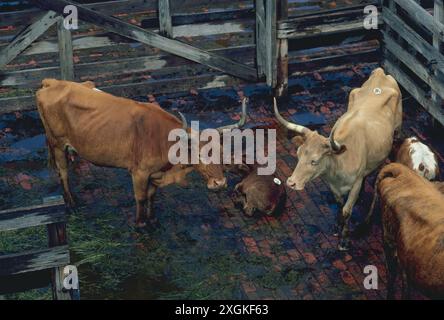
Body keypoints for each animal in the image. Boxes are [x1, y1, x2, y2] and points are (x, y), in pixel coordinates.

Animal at [274, 67, 402, 250]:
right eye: (298, 154)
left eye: (315, 161)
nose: (291, 182)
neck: (339, 164)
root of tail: (380, 72)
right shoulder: (333, 186)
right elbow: (340, 205)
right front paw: (337, 226)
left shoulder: (355, 183)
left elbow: (347, 210)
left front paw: (344, 239)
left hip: (397, 132)